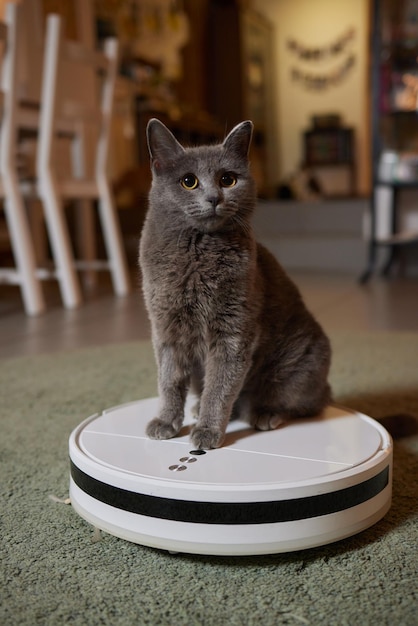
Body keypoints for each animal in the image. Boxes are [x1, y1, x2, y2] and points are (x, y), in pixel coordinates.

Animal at [139, 118, 332, 448]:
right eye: (188, 181)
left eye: (228, 179)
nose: (215, 198)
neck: (197, 253)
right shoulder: (166, 326)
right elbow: (169, 379)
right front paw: (166, 421)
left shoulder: (233, 329)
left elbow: (221, 385)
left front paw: (207, 431)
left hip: (300, 365)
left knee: (307, 403)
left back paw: (265, 413)